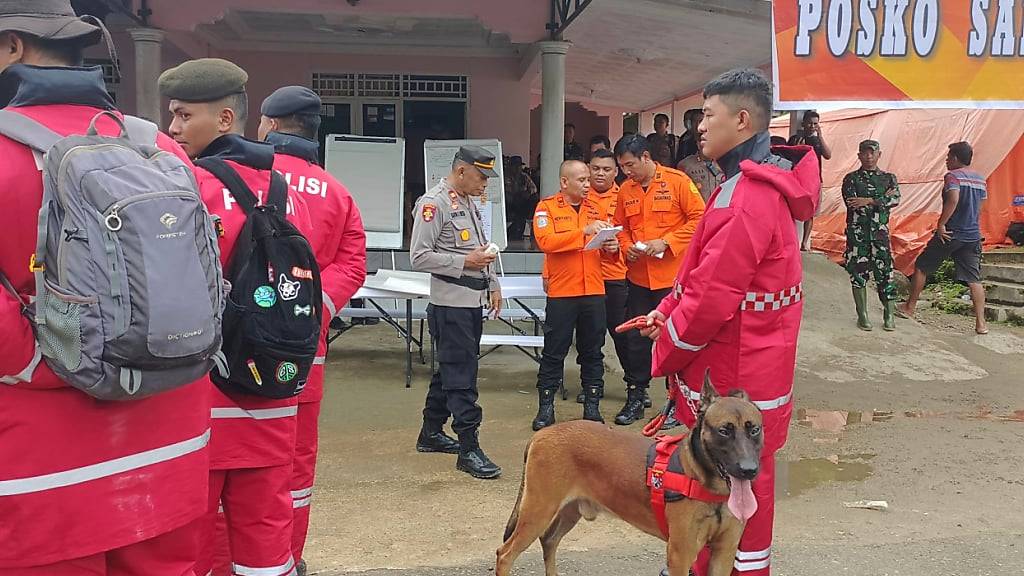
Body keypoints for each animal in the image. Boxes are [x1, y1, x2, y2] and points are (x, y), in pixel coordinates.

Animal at [491, 373, 765, 573]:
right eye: (724, 431)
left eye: (754, 430)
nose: (748, 470)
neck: (704, 480)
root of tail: (541, 434)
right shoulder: (681, 555)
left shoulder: (724, 553)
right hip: (538, 512)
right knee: (505, 554)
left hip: (569, 511)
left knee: (549, 541)